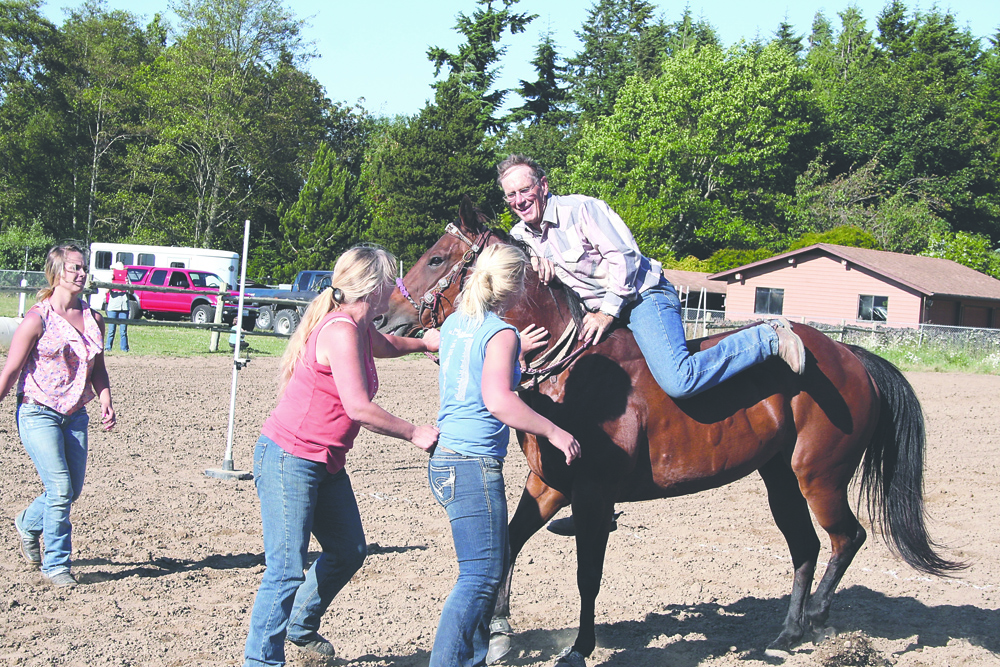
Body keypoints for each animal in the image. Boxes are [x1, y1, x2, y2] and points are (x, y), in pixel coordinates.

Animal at [378, 196, 963, 666]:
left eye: (436, 258)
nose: (384, 318)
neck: (571, 369)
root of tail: (852, 356)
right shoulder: (548, 486)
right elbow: (509, 542)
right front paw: (498, 632)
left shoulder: (592, 496)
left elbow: (588, 574)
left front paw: (579, 648)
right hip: (780, 479)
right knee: (805, 547)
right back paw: (788, 631)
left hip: (820, 476)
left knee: (847, 538)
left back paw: (816, 616)